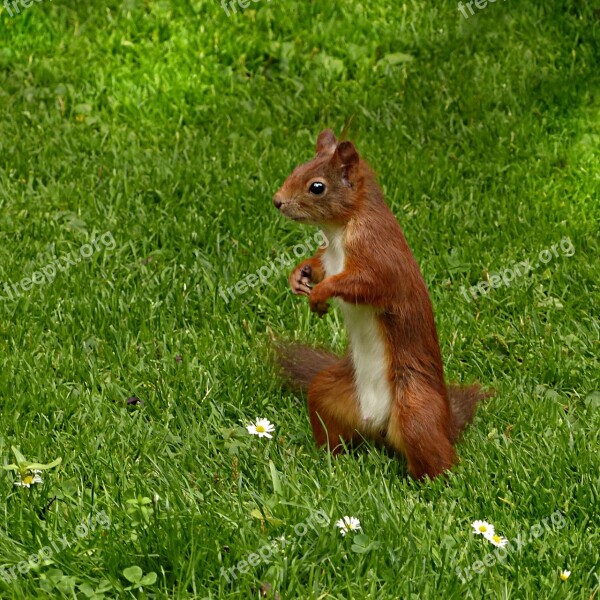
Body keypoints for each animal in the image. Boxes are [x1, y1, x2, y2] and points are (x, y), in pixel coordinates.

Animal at [274, 130, 490, 478]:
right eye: (298, 167)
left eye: (317, 186)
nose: (277, 201)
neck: (339, 232)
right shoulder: (330, 257)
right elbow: (318, 264)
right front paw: (298, 276)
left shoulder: (378, 256)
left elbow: (366, 284)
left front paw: (321, 293)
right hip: (330, 392)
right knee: (326, 414)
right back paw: (327, 458)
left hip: (415, 409)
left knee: (437, 454)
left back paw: (428, 481)